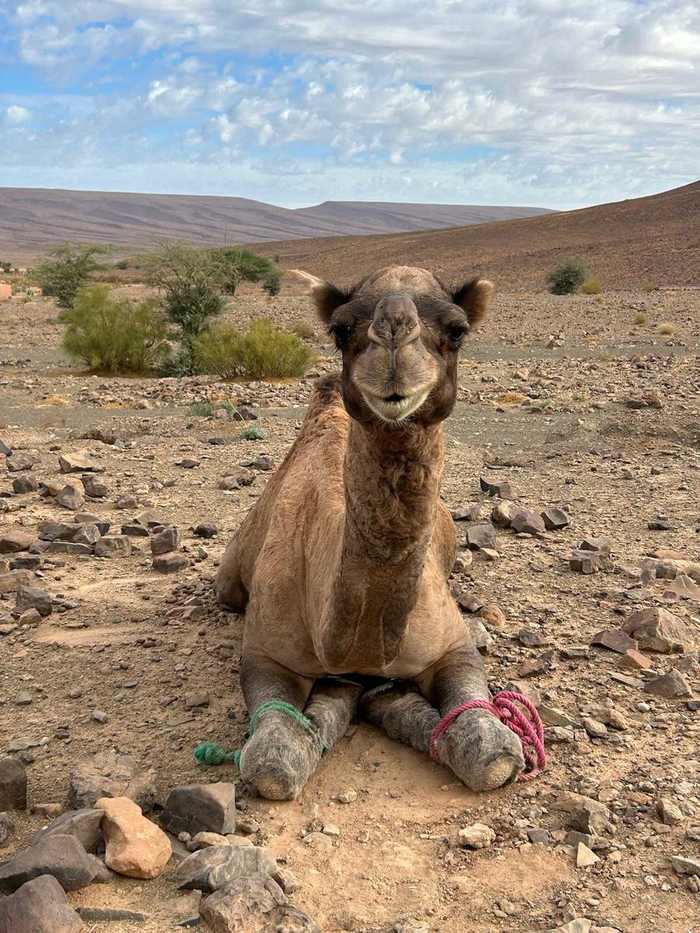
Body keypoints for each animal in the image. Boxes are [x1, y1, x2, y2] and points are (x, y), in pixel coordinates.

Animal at [215, 265, 529, 800]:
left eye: (457, 330)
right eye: (341, 329)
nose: (394, 333)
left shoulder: (452, 646)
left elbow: (493, 752)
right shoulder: (265, 653)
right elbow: (271, 763)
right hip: (229, 582)